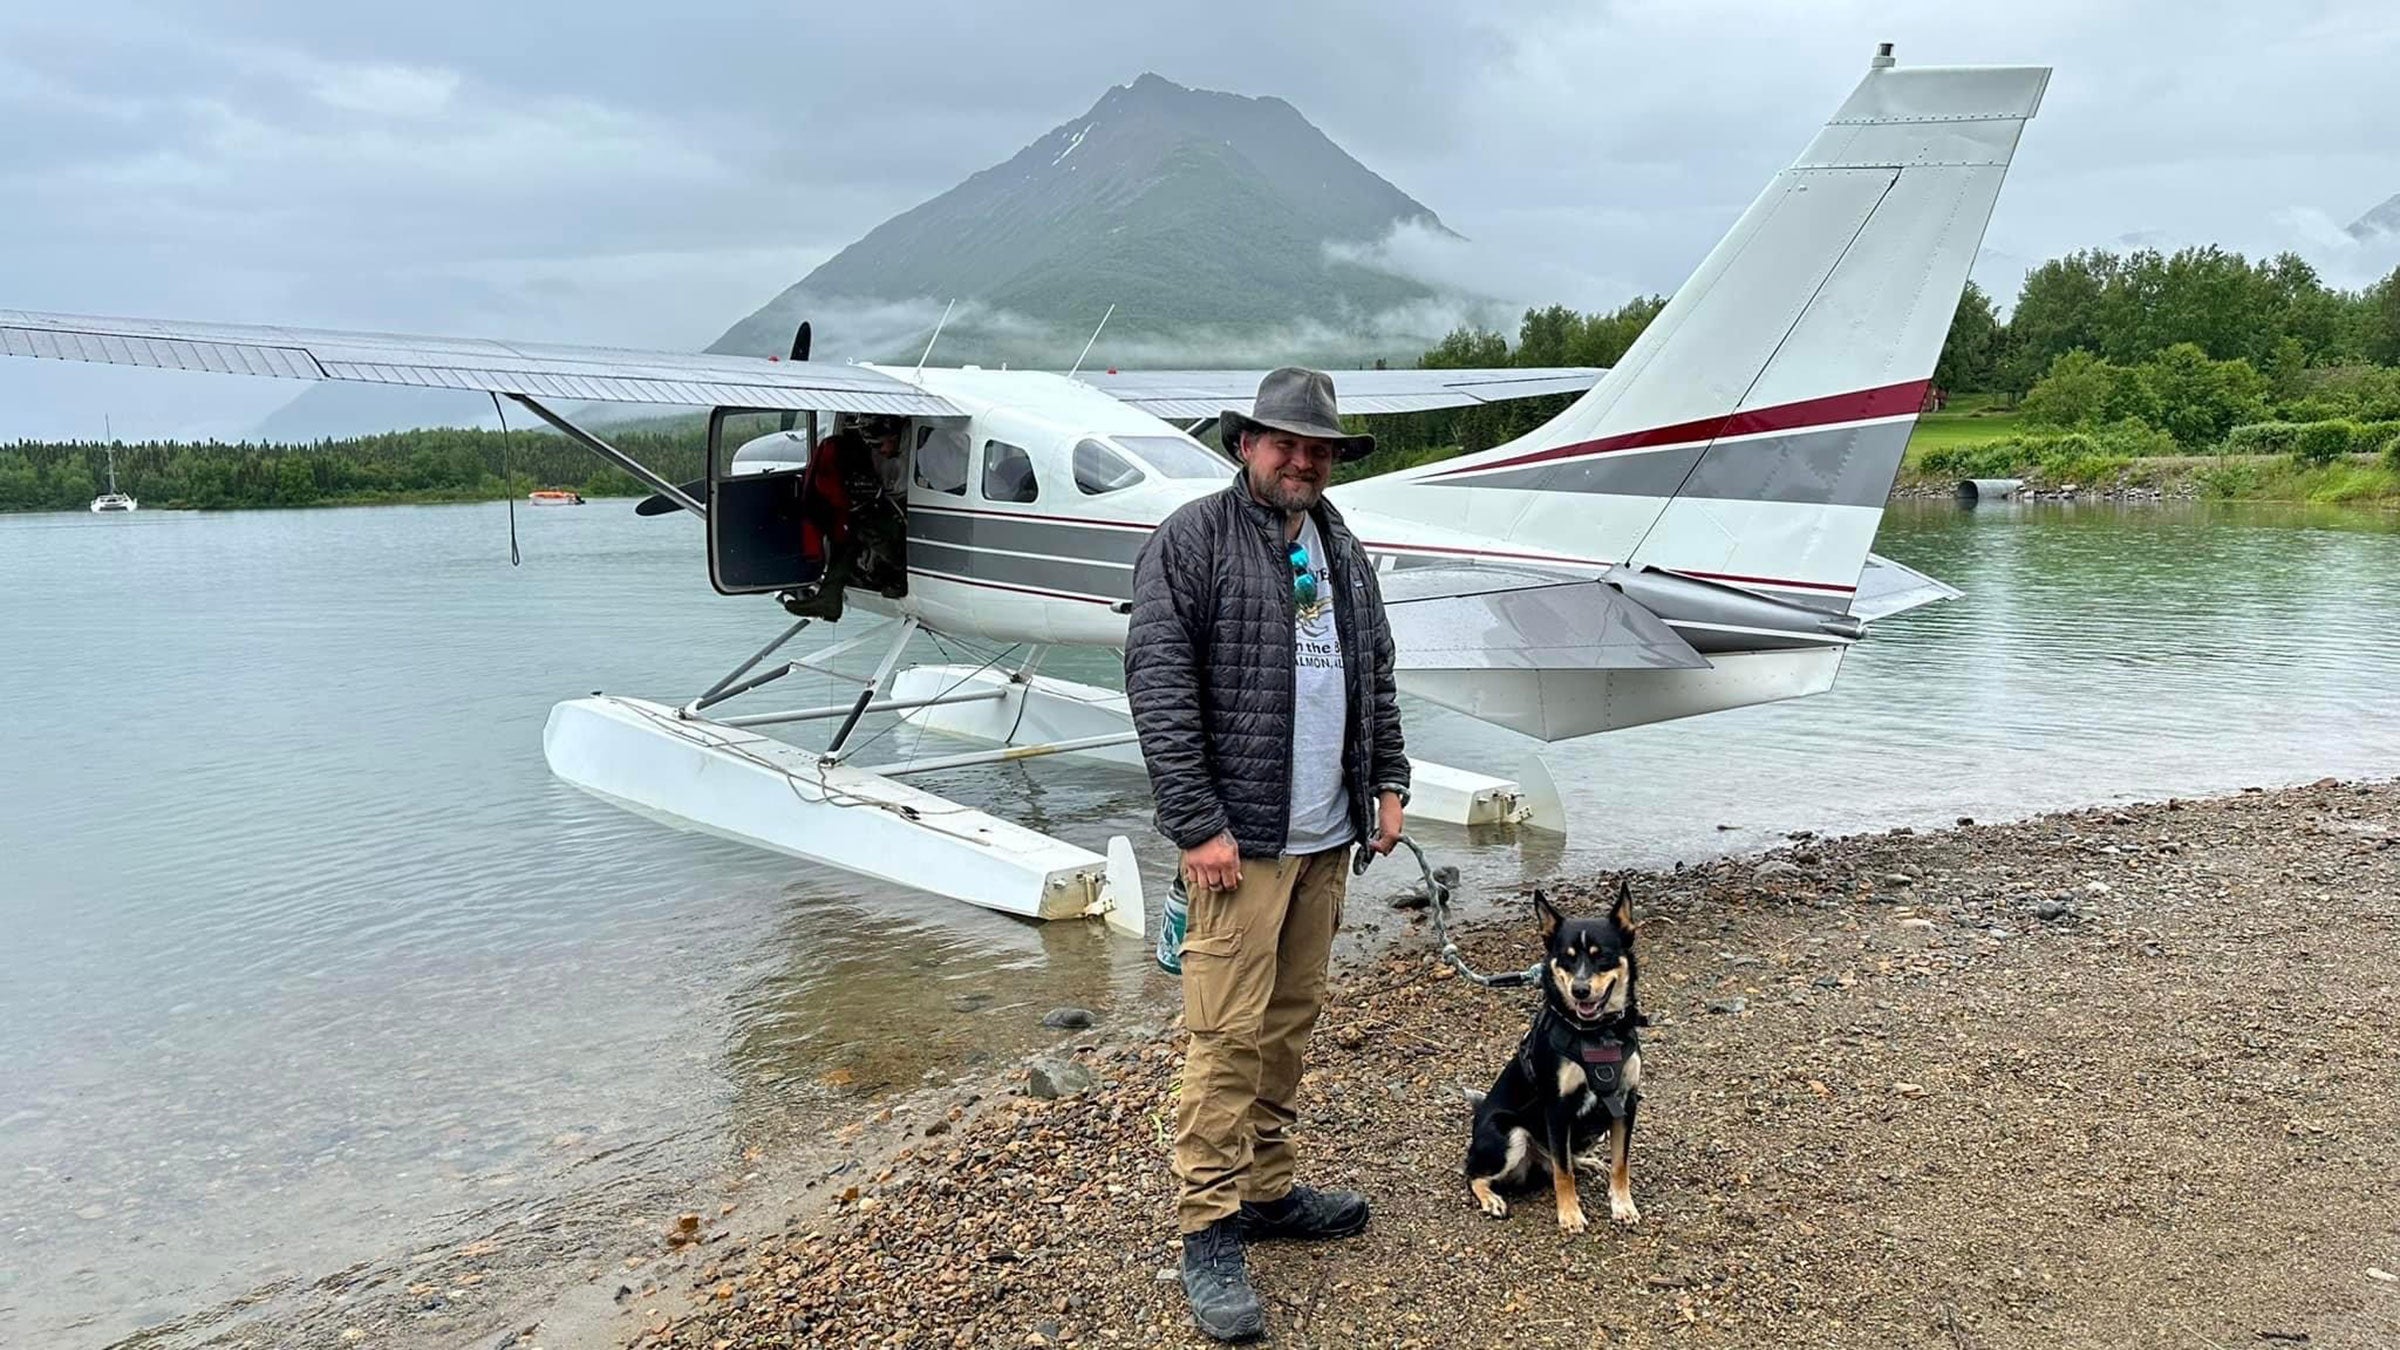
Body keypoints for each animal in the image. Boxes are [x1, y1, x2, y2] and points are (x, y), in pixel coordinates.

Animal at [1459, 879, 1651, 1225]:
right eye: (1567, 958)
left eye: (1602, 957)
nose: (1580, 990)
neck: (1595, 1033)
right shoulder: (1558, 1109)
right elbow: (1563, 1174)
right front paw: (1570, 1214)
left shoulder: (1625, 1103)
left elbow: (1620, 1164)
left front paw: (1622, 1204)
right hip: (1509, 1132)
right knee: (1474, 1173)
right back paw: (1490, 1198)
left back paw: (1587, 1163)